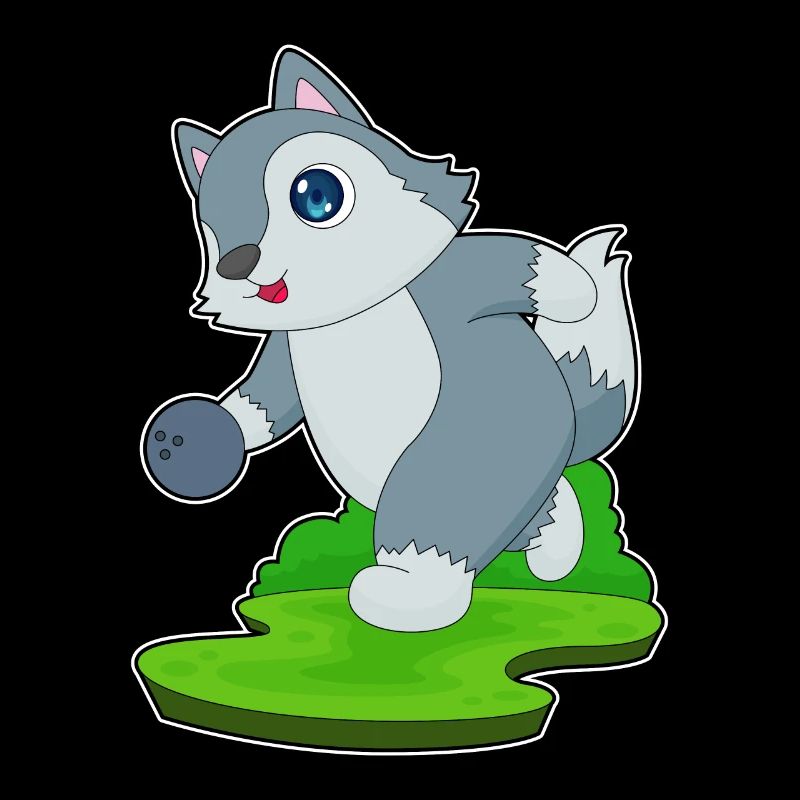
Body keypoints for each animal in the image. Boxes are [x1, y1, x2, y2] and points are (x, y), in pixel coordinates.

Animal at [143, 47, 637, 632]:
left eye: (316, 196)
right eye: (212, 232)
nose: (237, 264)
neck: (355, 311)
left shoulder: (458, 281)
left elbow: (528, 262)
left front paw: (577, 293)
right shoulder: (287, 348)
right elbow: (263, 399)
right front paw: (204, 435)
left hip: (486, 444)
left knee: (452, 507)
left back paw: (411, 590)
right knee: (534, 512)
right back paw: (556, 542)